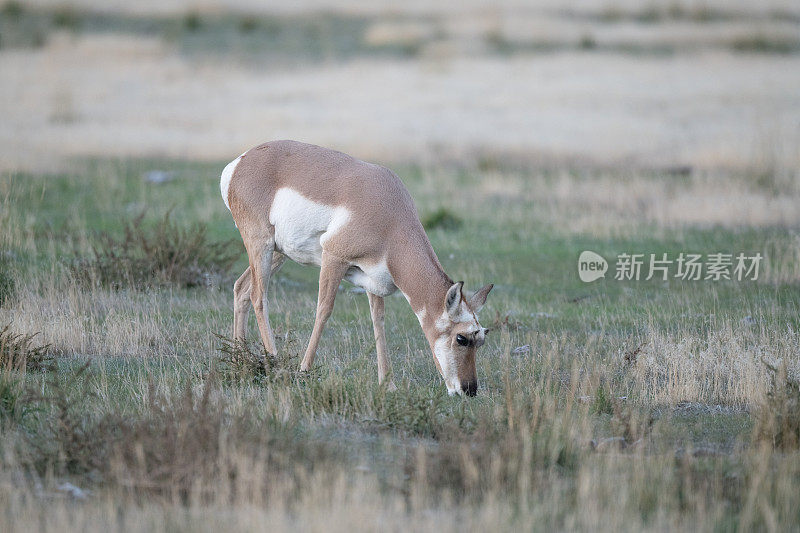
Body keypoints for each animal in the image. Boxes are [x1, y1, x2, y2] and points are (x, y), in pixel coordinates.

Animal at [220, 141, 494, 394]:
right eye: (461, 338)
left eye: (482, 338)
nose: (469, 389)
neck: (390, 214)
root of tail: (241, 161)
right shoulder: (333, 259)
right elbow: (323, 310)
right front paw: (304, 371)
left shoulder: (374, 281)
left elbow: (378, 321)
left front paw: (388, 384)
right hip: (262, 246)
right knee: (259, 296)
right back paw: (275, 363)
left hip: (278, 253)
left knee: (241, 288)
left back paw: (239, 361)